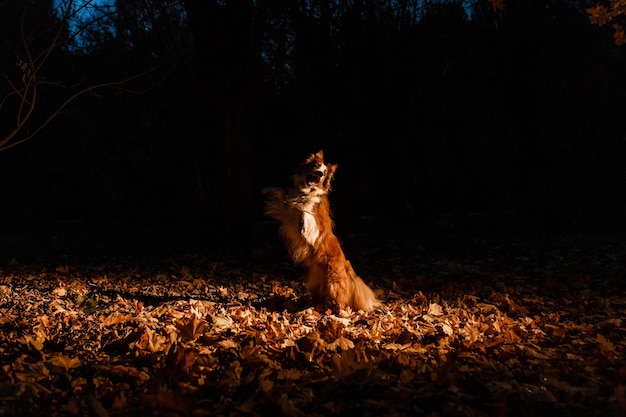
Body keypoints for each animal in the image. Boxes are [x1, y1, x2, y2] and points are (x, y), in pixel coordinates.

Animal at [260, 150, 378, 312]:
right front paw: (269, 189)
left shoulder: (318, 221)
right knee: (319, 297)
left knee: (341, 301)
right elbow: (281, 194)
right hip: (315, 282)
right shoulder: (287, 213)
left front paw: (303, 223)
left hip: (333, 281)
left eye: (325, 172)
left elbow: (307, 214)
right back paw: (312, 305)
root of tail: (347, 266)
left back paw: (336, 310)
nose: (320, 173)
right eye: (315, 165)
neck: (305, 192)